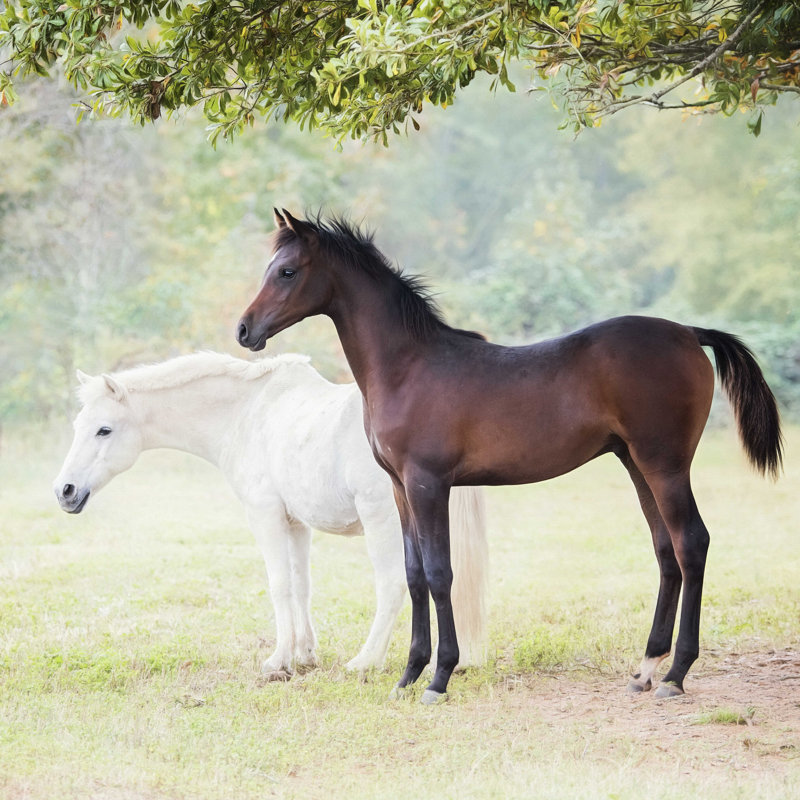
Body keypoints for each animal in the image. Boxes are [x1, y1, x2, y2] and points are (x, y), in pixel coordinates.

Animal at [53, 351, 488, 677]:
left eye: (104, 430)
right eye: (78, 425)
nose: (64, 491)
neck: (247, 413)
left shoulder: (265, 517)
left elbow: (279, 586)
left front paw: (279, 660)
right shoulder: (295, 524)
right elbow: (300, 586)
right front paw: (305, 654)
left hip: (385, 522)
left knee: (394, 585)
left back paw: (366, 661)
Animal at [237, 209, 783, 704]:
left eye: (288, 271)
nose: (244, 330)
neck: (409, 367)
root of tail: (689, 333)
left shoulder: (428, 484)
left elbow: (440, 573)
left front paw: (438, 678)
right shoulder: (400, 488)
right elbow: (414, 574)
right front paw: (408, 676)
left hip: (665, 466)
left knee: (692, 543)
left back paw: (675, 675)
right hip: (636, 464)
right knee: (666, 550)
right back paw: (646, 669)